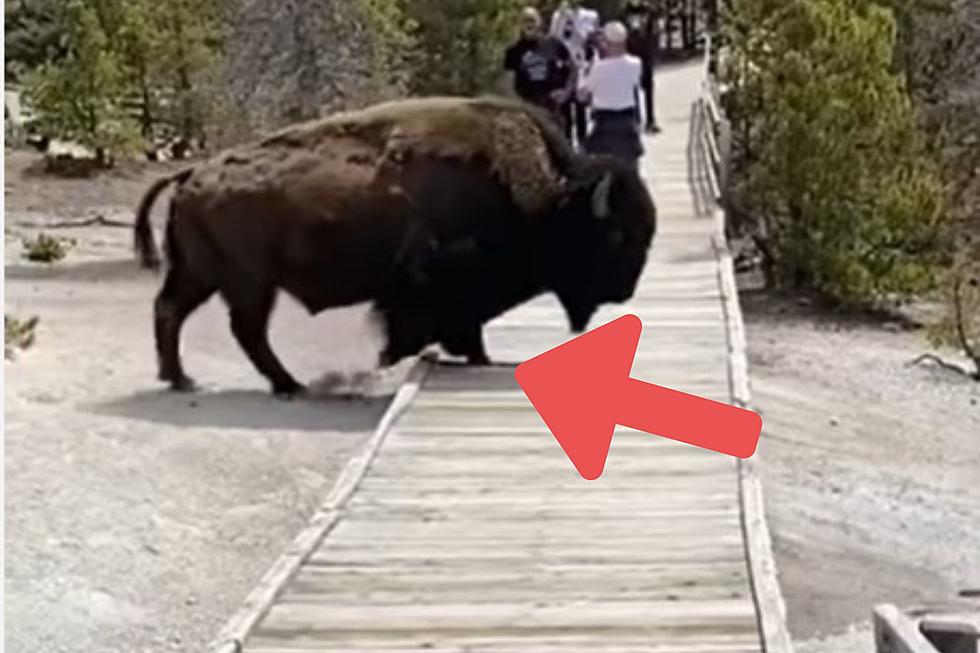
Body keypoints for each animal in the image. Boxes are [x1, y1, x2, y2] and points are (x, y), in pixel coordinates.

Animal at [134, 94, 656, 394]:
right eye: (618, 234)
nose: (626, 290)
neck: (540, 194)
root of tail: (191, 174)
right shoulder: (431, 289)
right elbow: (435, 327)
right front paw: (392, 361)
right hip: (247, 283)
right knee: (244, 328)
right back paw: (288, 385)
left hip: (202, 273)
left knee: (171, 311)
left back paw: (180, 379)